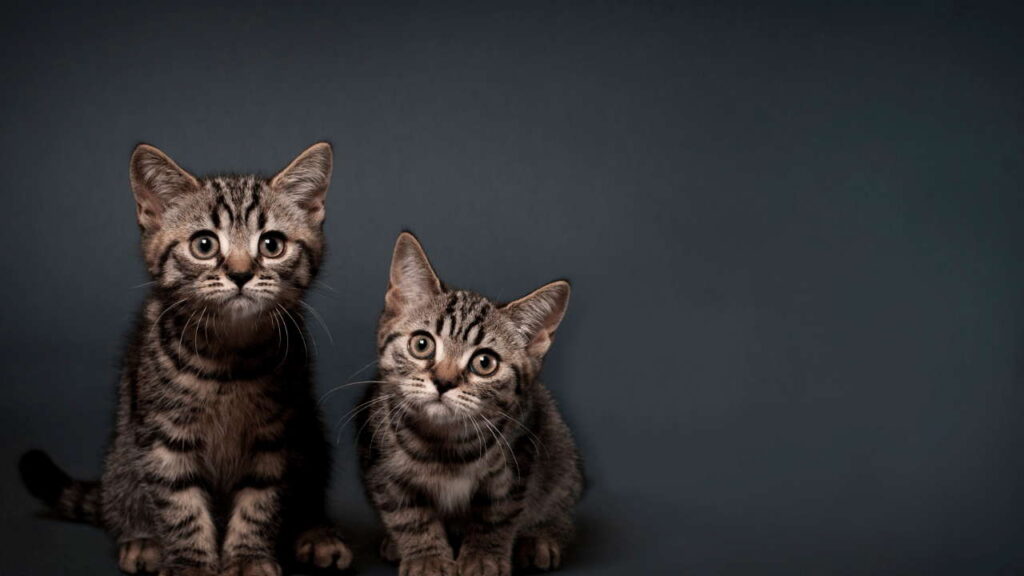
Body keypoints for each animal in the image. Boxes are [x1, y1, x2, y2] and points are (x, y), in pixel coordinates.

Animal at [18, 142, 352, 573]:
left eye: (271, 245)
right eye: (204, 245)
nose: (241, 274)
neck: (230, 358)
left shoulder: (276, 435)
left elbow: (260, 500)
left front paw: (247, 557)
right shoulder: (163, 436)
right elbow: (181, 504)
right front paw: (191, 563)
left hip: (311, 435)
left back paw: (316, 533)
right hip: (124, 452)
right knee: (123, 502)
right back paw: (142, 539)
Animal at [358, 231, 585, 573]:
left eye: (484, 363)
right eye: (421, 344)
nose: (444, 382)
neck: (443, 444)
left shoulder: (515, 465)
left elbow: (496, 515)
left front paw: (483, 557)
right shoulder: (382, 468)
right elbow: (408, 515)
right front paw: (427, 558)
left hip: (559, 446)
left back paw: (541, 538)